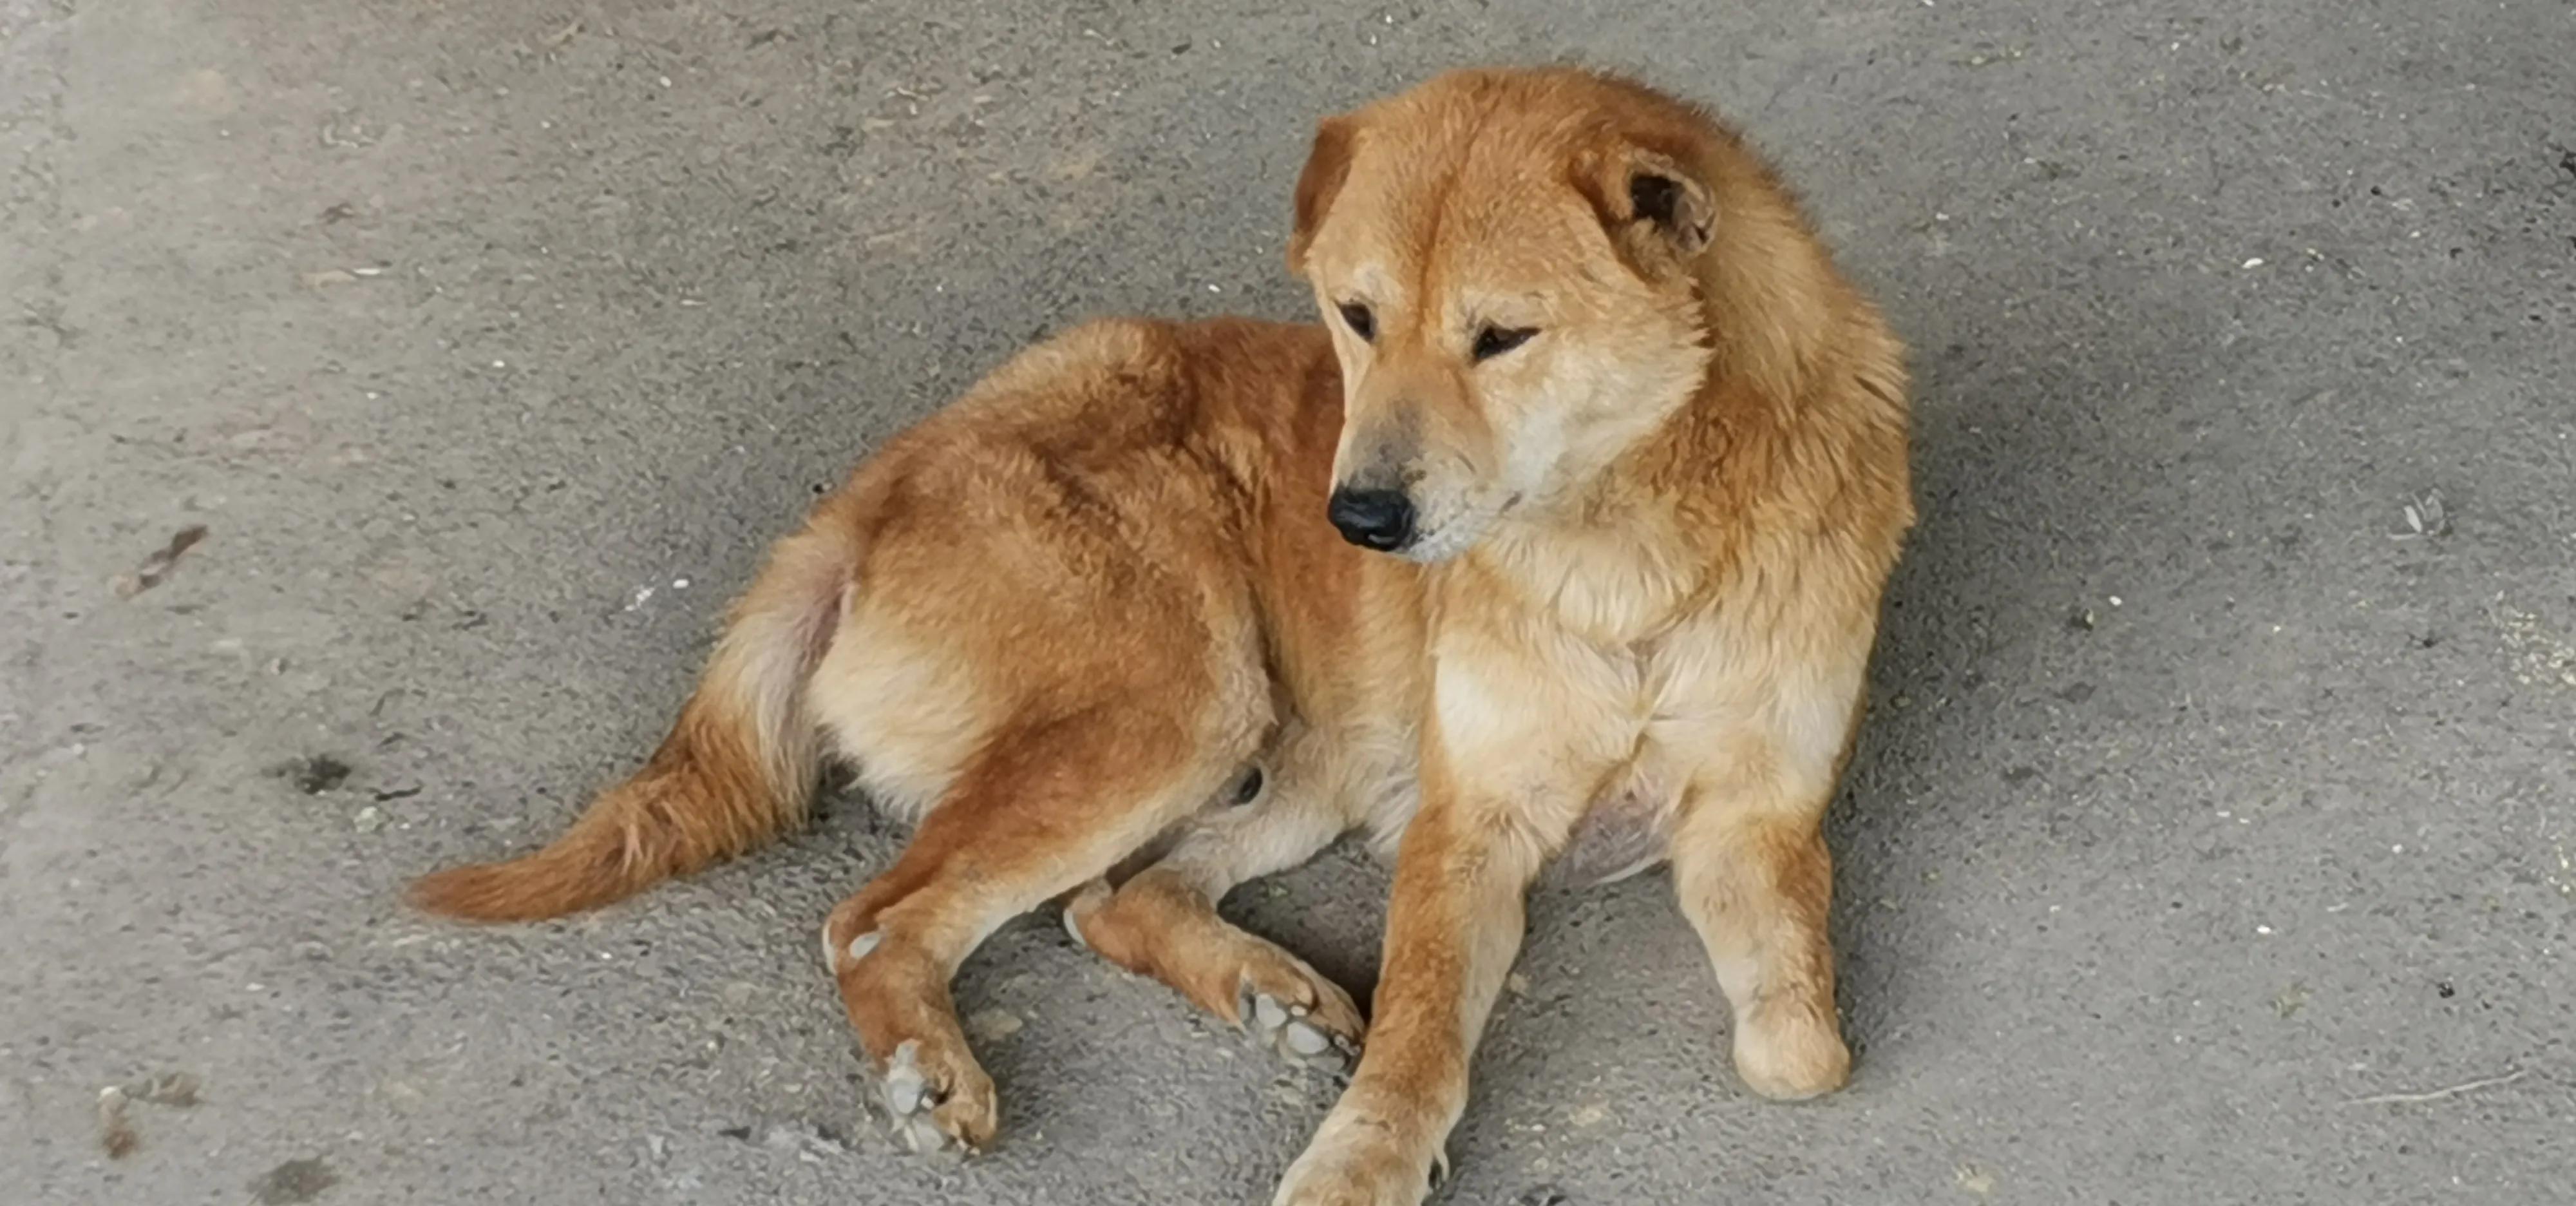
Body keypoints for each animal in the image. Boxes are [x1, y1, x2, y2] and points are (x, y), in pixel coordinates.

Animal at [412, 68, 1906, 1206]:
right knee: (881, 918)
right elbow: (1422, 1033)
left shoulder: (1757, 818)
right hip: (1177, 708)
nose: (1355, 518)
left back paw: (1259, 984)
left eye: (1504, 337)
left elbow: (1801, 1053)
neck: (1625, 550)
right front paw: (1364, 1160)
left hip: (1289, 750)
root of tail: (874, 490)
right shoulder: (1466, 825)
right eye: (1356, 320)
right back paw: (936, 1066)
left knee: (1110, 900)